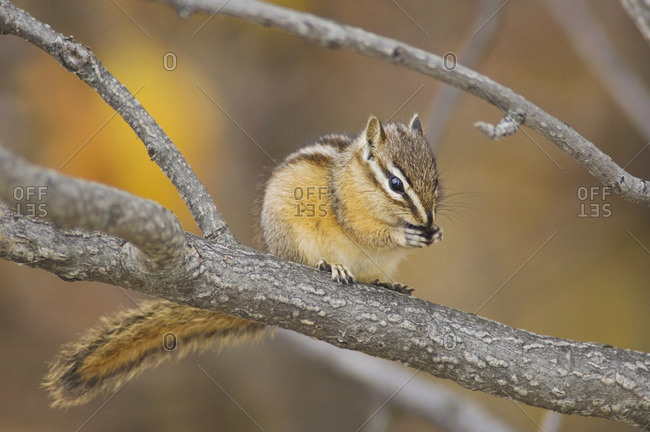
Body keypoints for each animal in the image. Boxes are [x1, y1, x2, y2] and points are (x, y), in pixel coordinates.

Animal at [43, 114, 442, 407]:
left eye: (436, 181)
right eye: (395, 184)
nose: (427, 220)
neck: (360, 182)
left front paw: (434, 234)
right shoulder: (348, 210)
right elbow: (366, 231)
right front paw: (403, 234)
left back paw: (387, 282)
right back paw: (332, 266)